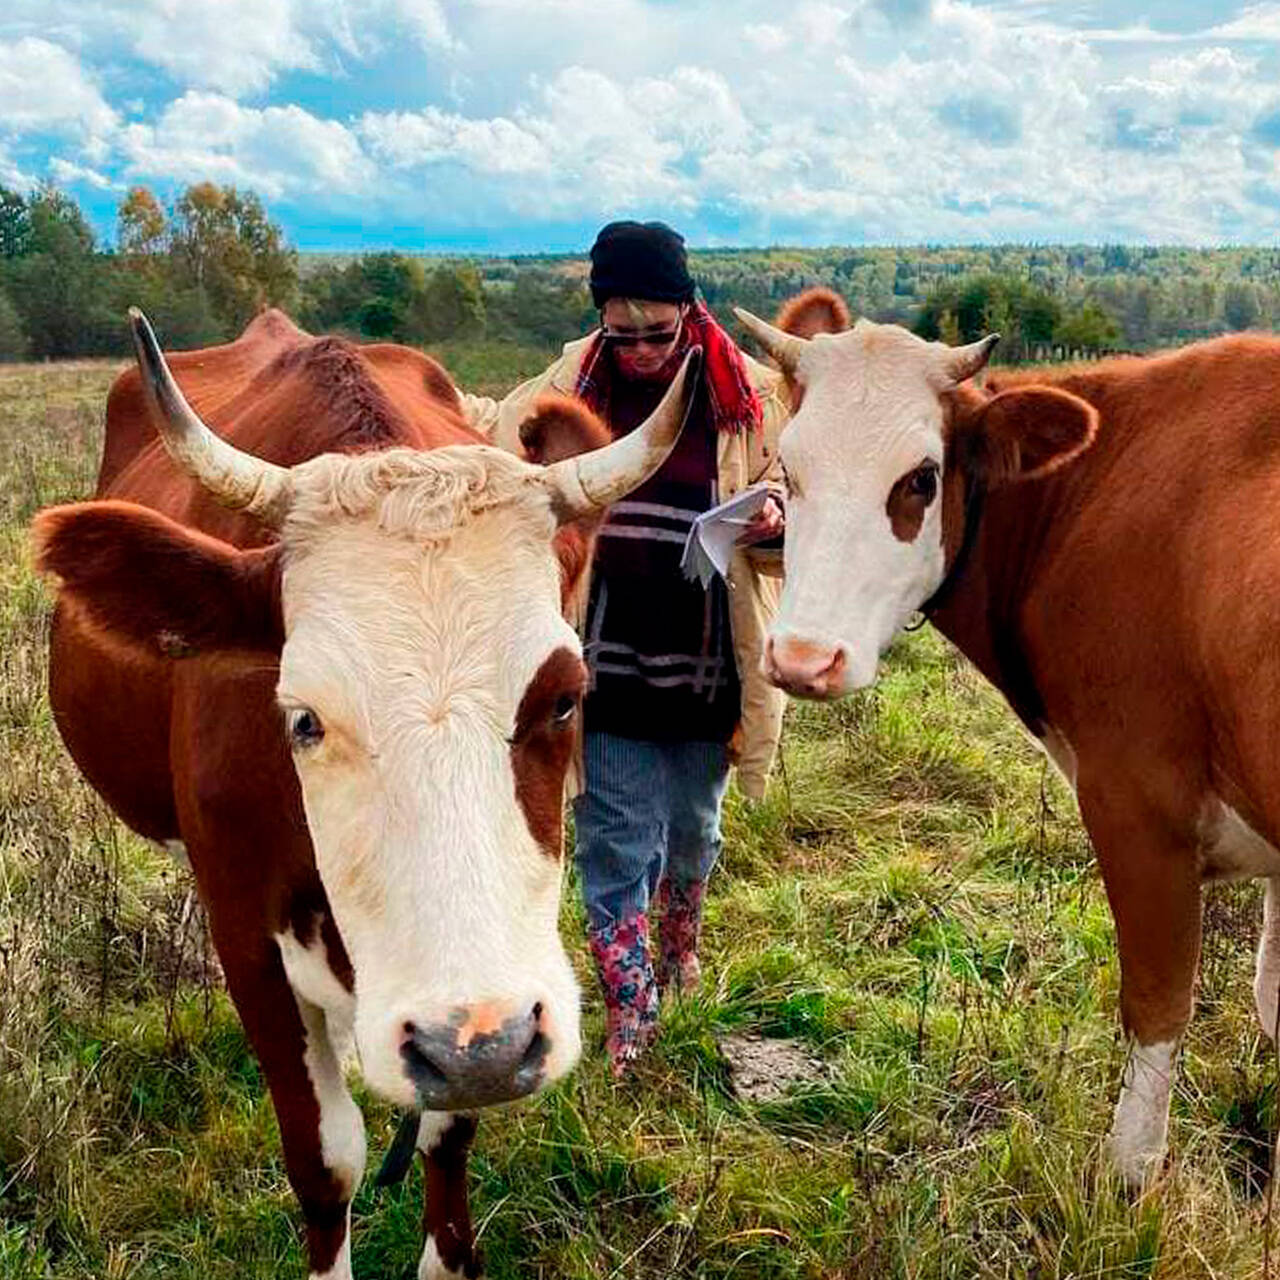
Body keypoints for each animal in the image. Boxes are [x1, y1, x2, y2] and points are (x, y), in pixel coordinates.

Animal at [37, 312, 701, 1280]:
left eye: (564, 697)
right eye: (304, 718)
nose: (490, 1046)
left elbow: (445, 1135)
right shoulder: (247, 942)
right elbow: (326, 1159)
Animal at [737, 309, 1280, 1187]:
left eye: (920, 480)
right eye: (790, 467)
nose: (803, 659)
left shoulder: (1140, 808)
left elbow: (1157, 1006)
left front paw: (1127, 1187)